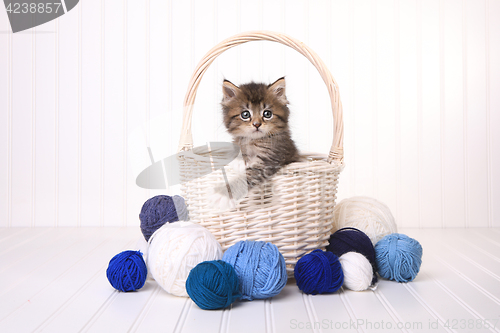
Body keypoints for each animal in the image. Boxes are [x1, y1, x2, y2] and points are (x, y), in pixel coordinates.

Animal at [210, 76, 300, 209]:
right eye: (245, 114)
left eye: (267, 113)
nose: (257, 124)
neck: (253, 140)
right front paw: (238, 161)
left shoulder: (271, 158)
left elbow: (248, 175)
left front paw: (223, 194)